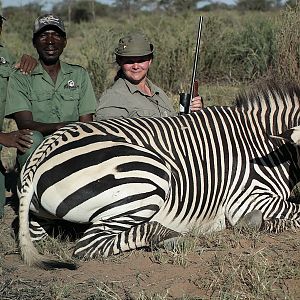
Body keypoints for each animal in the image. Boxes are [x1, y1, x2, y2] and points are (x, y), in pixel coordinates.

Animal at [17, 81, 300, 270]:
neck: (265, 144)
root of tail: (48, 145)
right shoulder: (248, 198)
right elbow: (295, 213)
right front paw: (256, 223)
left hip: (40, 218)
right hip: (149, 177)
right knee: (90, 245)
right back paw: (175, 238)